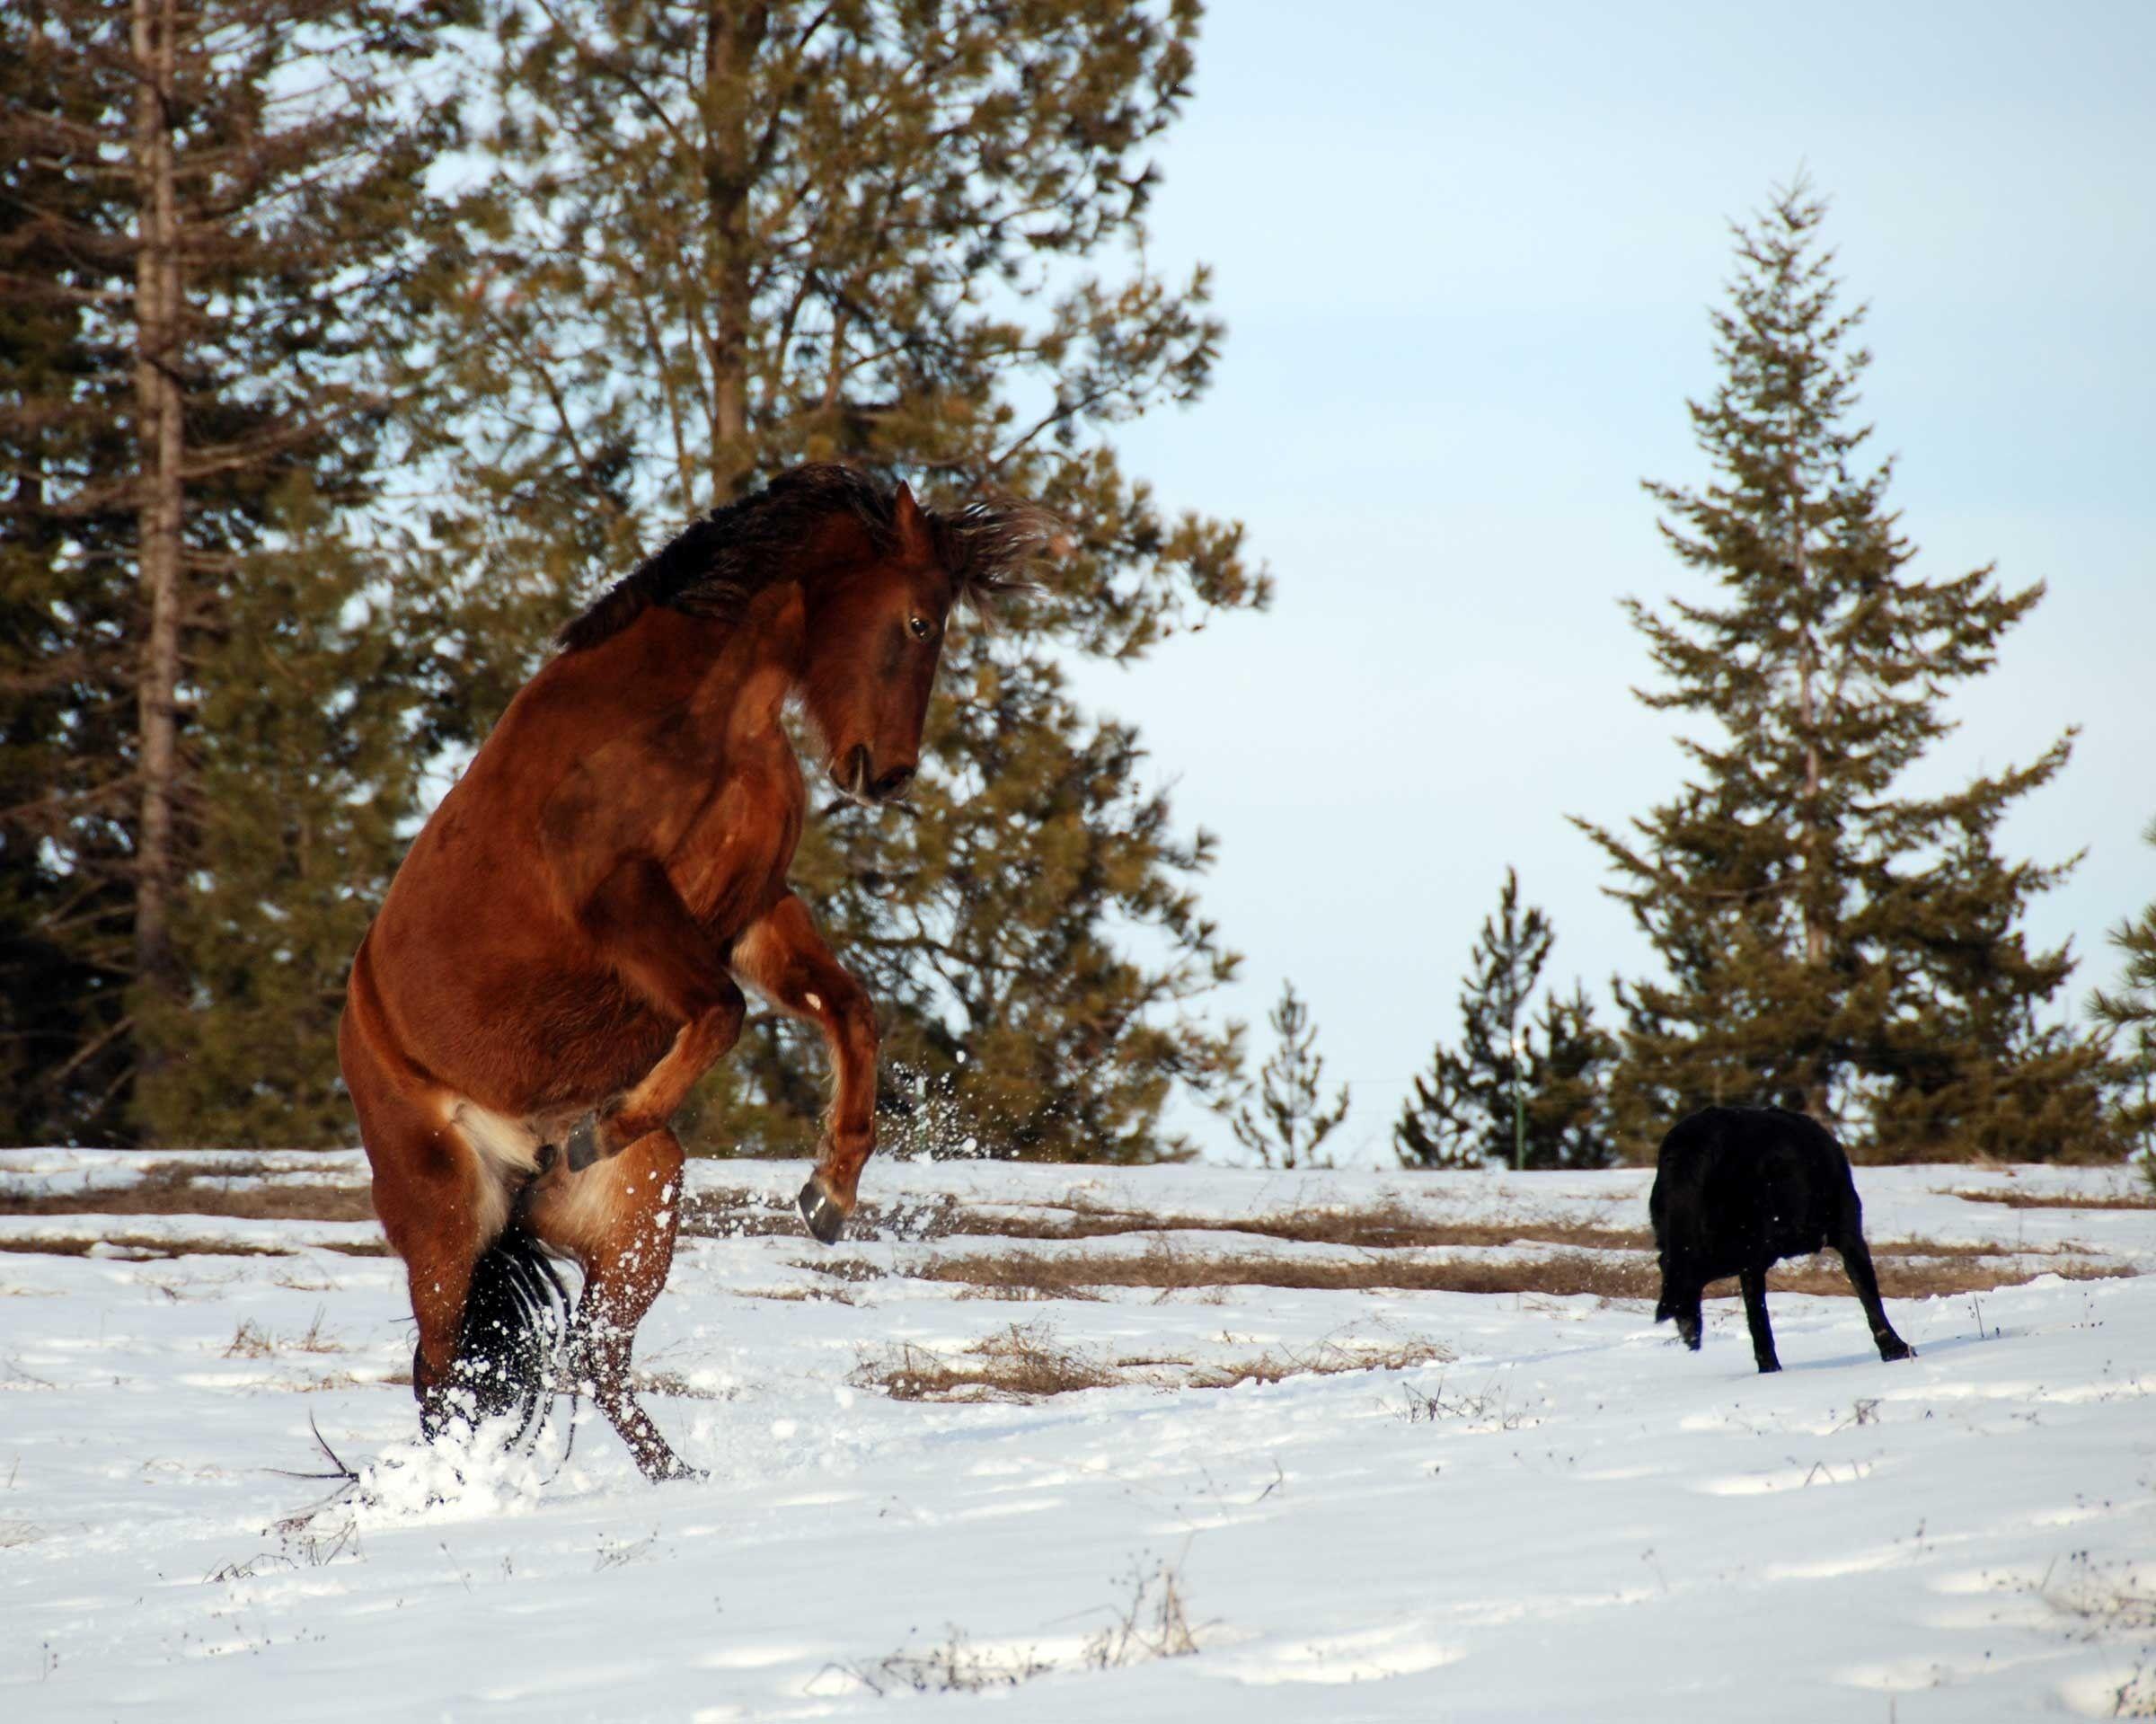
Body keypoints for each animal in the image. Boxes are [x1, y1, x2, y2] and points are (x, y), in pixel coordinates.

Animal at [336, 465, 1052, 1473]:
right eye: (919, 621)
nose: (888, 774)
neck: (703, 714)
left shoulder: (752, 909)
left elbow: (848, 1008)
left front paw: (830, 1191)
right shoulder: (623, 897)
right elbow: (722, 1012)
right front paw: (610, 1122)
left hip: (641, 1210)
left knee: (595, 1362)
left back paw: (682, 1475)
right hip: (442, 1224)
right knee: (445, 1379)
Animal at [1647, 1103, 1922, 1370]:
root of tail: (1688, 1145)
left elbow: (1757, 1318)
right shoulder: (1849, 1234)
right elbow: (1870, 1296)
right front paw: (1895, 1349)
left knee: (1674, 1265)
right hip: (1742, 1245)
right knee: (1688, 1270)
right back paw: (1688, 1322)